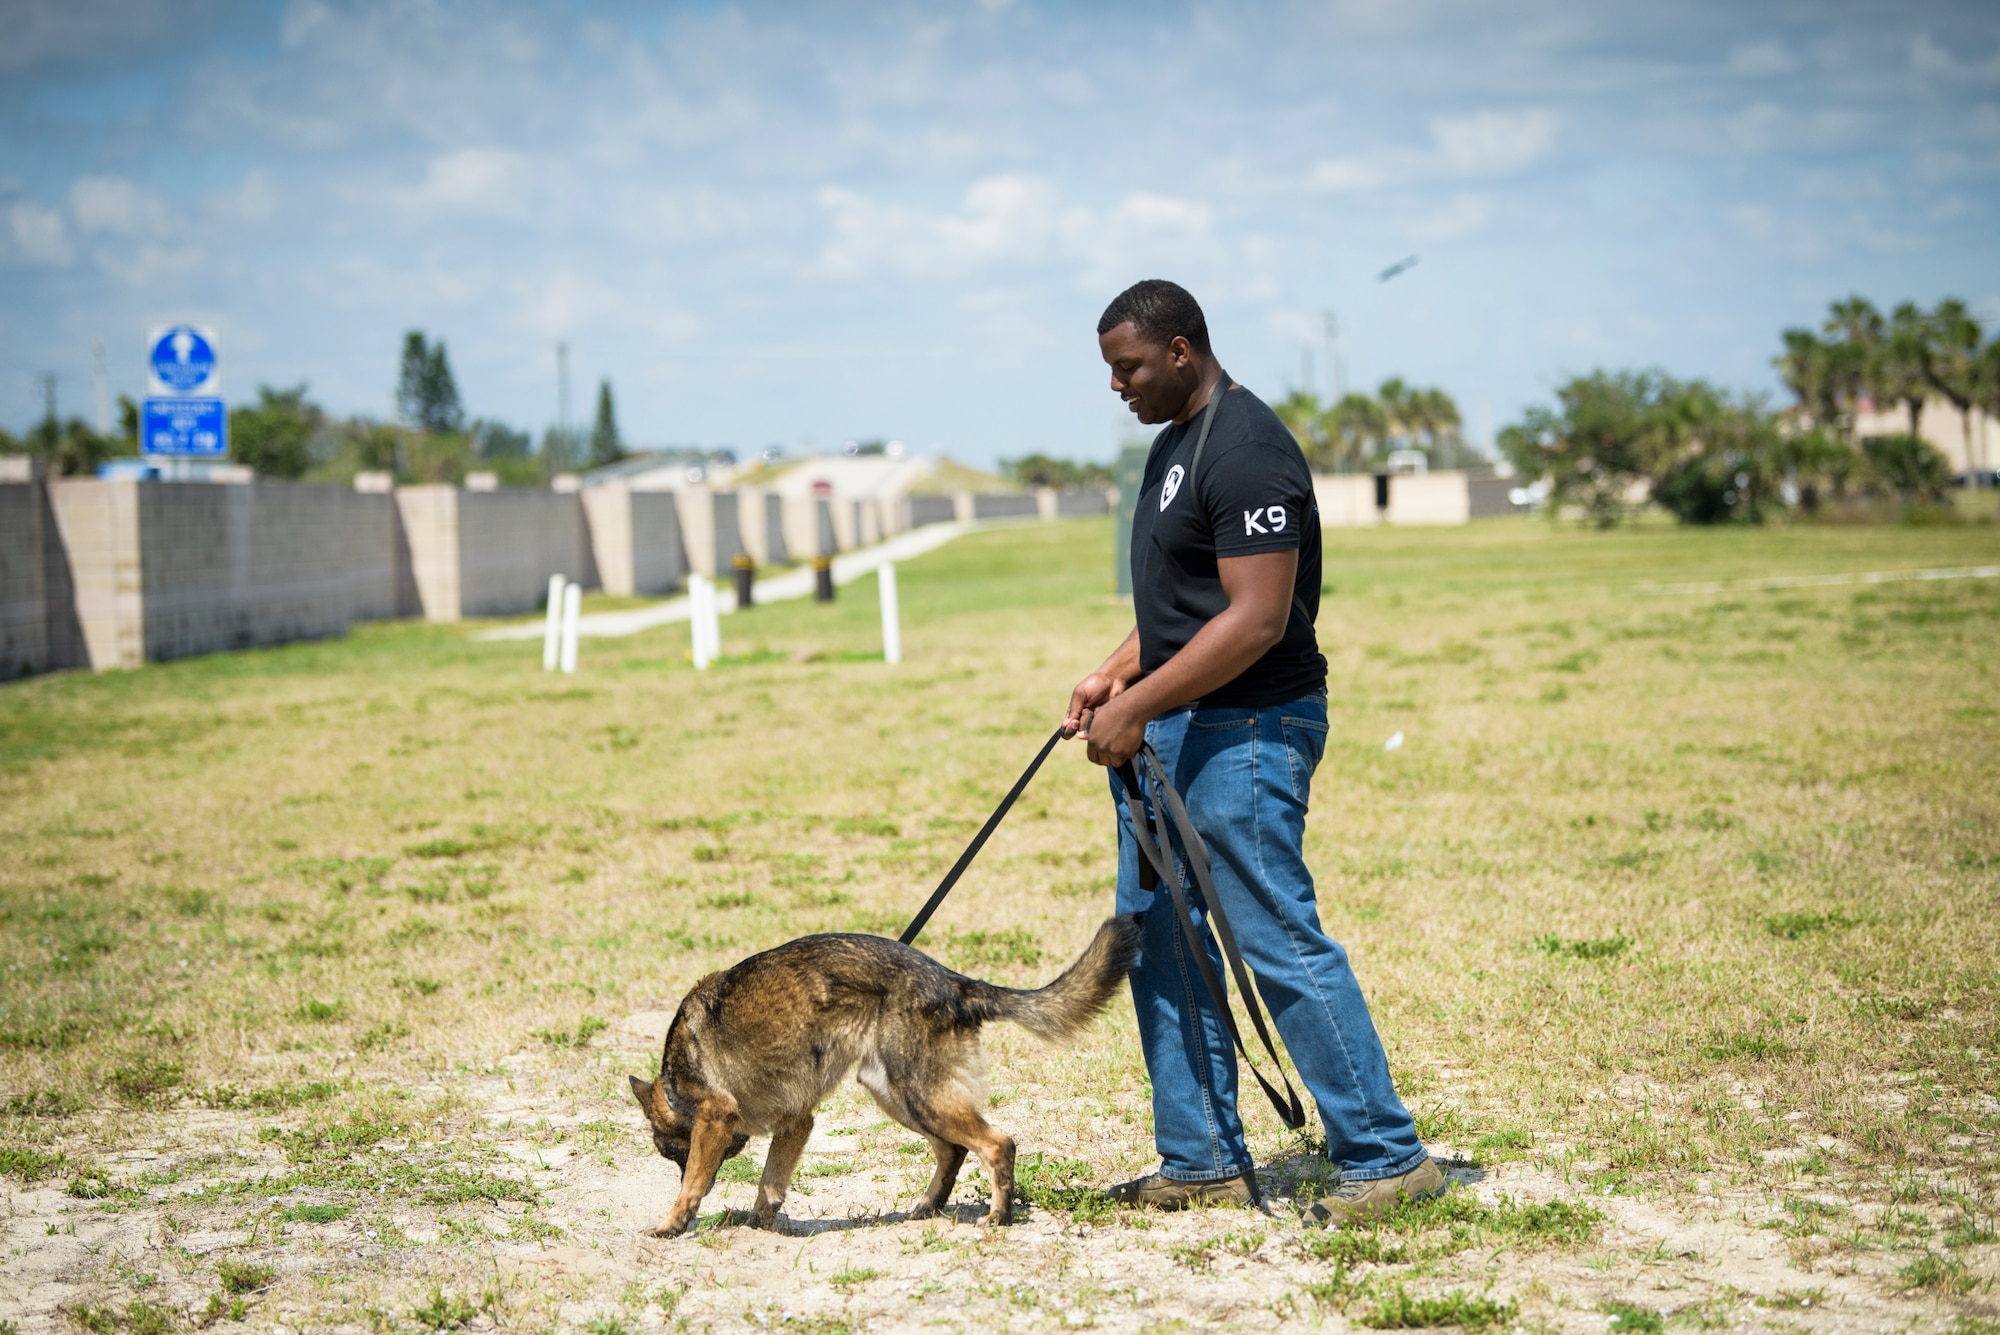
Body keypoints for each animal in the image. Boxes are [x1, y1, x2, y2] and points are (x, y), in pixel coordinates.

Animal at [632, 919, 1152, 1239]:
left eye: (669, 1153)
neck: (675, 1080)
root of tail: (954, 982)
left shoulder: (717, 1118)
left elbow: (698, 1182)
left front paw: (674, 1223)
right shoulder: (797, 1124)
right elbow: (771, 1182)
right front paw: (759, 1222)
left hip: (919, 1094)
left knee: (997, 1144)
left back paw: (999, 1217)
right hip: (898, 1095)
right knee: (953, 1150)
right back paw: (928, 1207)